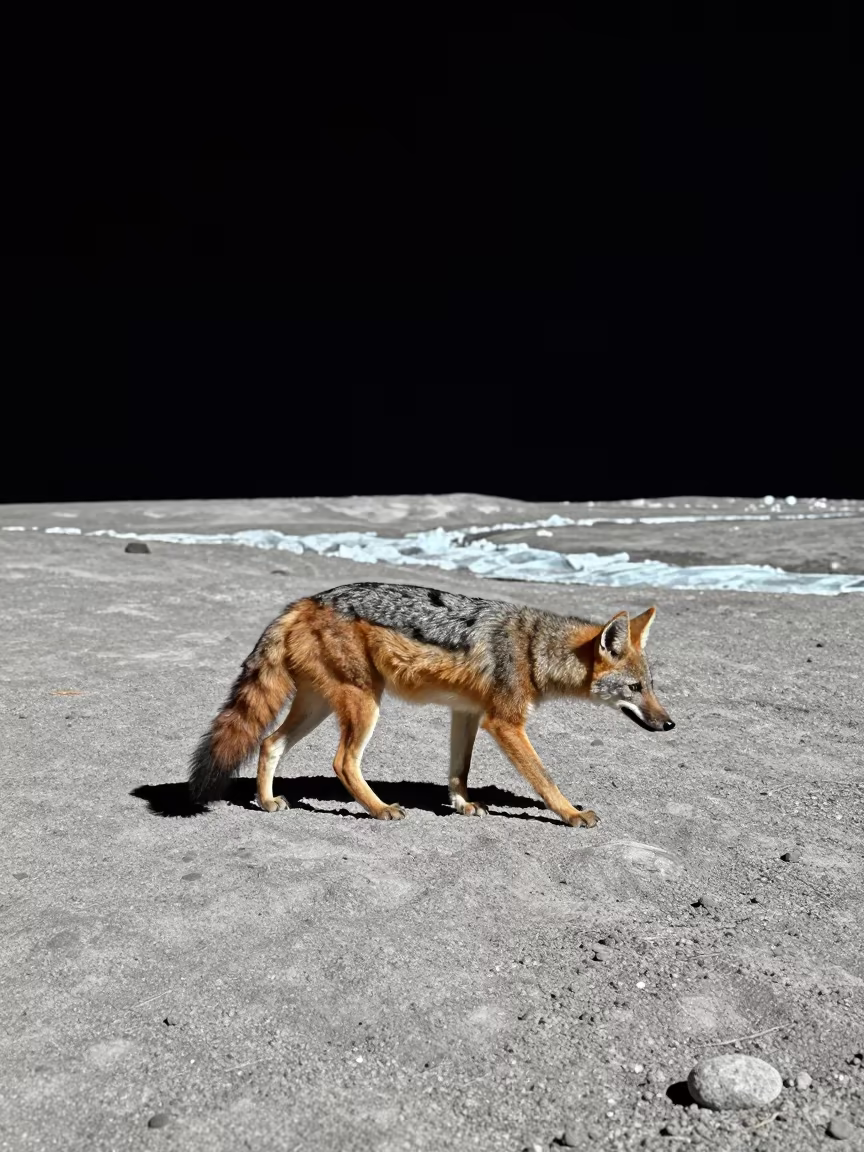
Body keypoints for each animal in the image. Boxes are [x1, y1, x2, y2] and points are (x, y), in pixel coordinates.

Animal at [188, 582, 674, 825]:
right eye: (634, 689)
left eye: (651, 685)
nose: (670, 725)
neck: (532, 647)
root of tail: (303, 601)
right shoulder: (505, 723)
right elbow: (545, 778)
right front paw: (571, 813)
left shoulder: (467, 713)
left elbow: (459, 771)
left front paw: (462, 805)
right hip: (365, 706)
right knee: (343, 762)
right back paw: (380, 809)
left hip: (318, 707)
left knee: (269, 743)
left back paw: (267, 802)